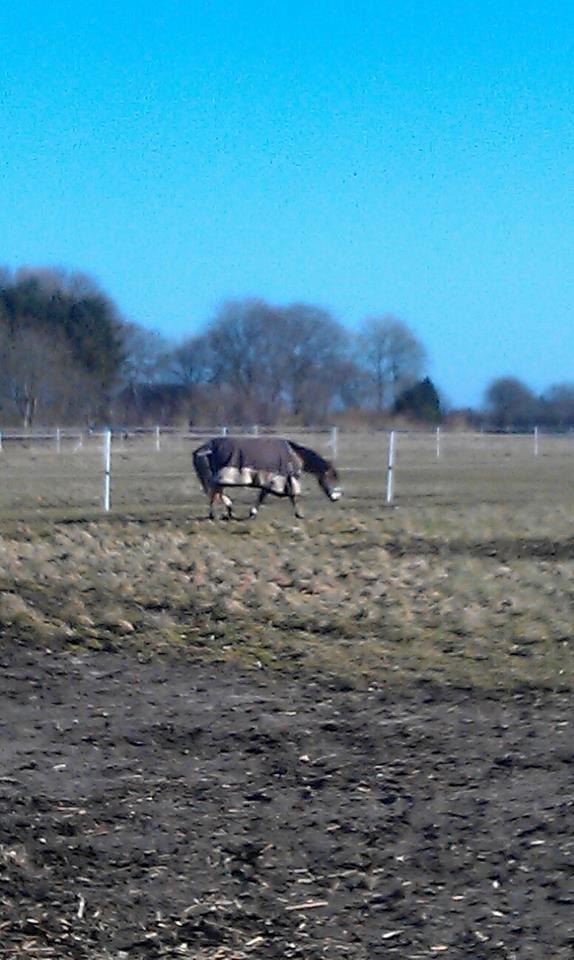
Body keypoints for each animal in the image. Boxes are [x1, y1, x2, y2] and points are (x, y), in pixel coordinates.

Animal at [194, 436, 342, 520]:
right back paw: (216, 513)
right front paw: (300, 514)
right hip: (220, 476)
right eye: (331, 478)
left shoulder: (276, 479)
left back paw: (229, 511)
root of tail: (210, 446)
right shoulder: (280, 479)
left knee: (216, 492)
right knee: (215, 492)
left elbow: (269, 496)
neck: (294, 455)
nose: (336, 497)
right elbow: (288, 497)